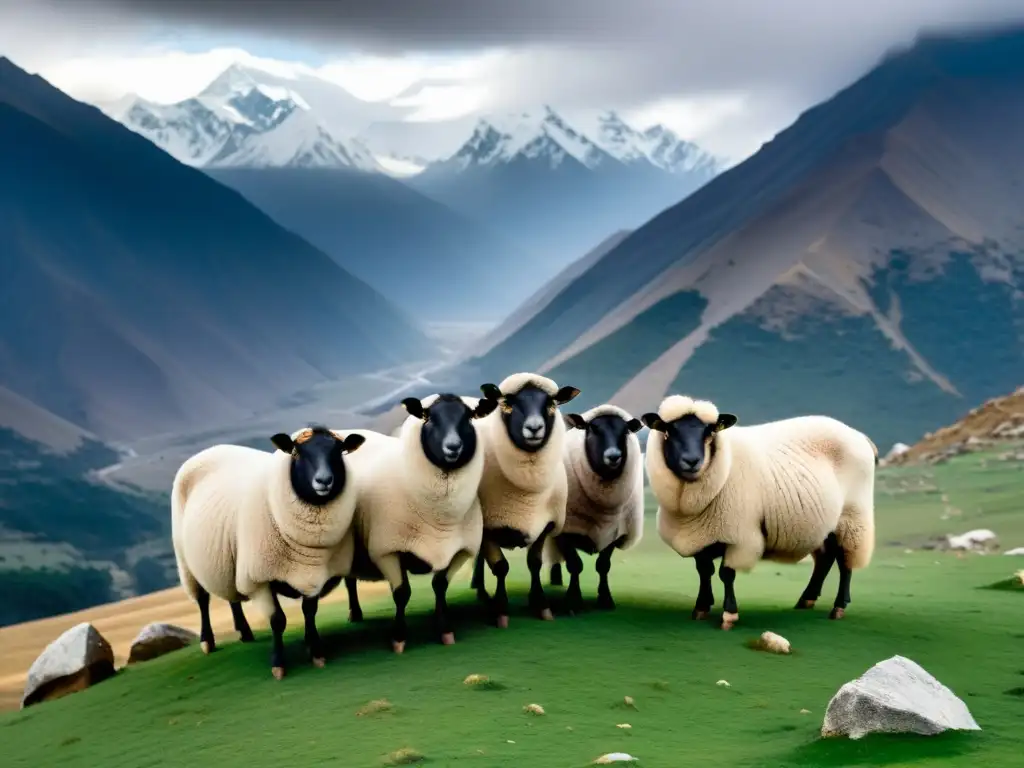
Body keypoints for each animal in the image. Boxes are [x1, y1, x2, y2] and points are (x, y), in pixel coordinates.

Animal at [172, 428, 368, 679]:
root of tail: (208, 450)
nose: (324, 480)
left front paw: (315, 650)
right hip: (186, 561)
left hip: (226, 559)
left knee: (231, 596)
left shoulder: (314, 571)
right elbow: (277, 620)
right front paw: (278, 663)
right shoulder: (260, 577)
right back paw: (208, 641)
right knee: (202, 599)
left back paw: (245, 632)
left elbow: (309, 611)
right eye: (296, 452)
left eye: (339, 451)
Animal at [337, 397, 497, 655]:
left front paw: (444, 629)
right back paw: (355, 613)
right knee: (350, 581)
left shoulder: (461, 550)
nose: (453, 447)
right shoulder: (387, 550)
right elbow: (402, 593)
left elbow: (440, 585)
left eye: (469, 417)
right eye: (428, 418)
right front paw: (399, 637)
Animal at [548, 405, 643, 618]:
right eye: (593, 429)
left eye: (625, 431)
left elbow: (603, 566)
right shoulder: (565, 530)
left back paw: (555, 579)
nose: (614, 456)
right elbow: (575, 565)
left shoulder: (616, 531)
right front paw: (573, 601)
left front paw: (605, 599)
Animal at [643, 397, 876, 630]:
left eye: (709, 432)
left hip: (852, 517)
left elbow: (726, 574)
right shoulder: (701, 535)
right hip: (825, 523)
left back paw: (839, 607)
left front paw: (729, 614)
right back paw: (806, 599)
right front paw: (701, 607)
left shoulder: (739, 537)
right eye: (668, 431)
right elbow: (704, 571)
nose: (692, 461)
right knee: (826, 558)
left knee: (845, 561)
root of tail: (858, 435)